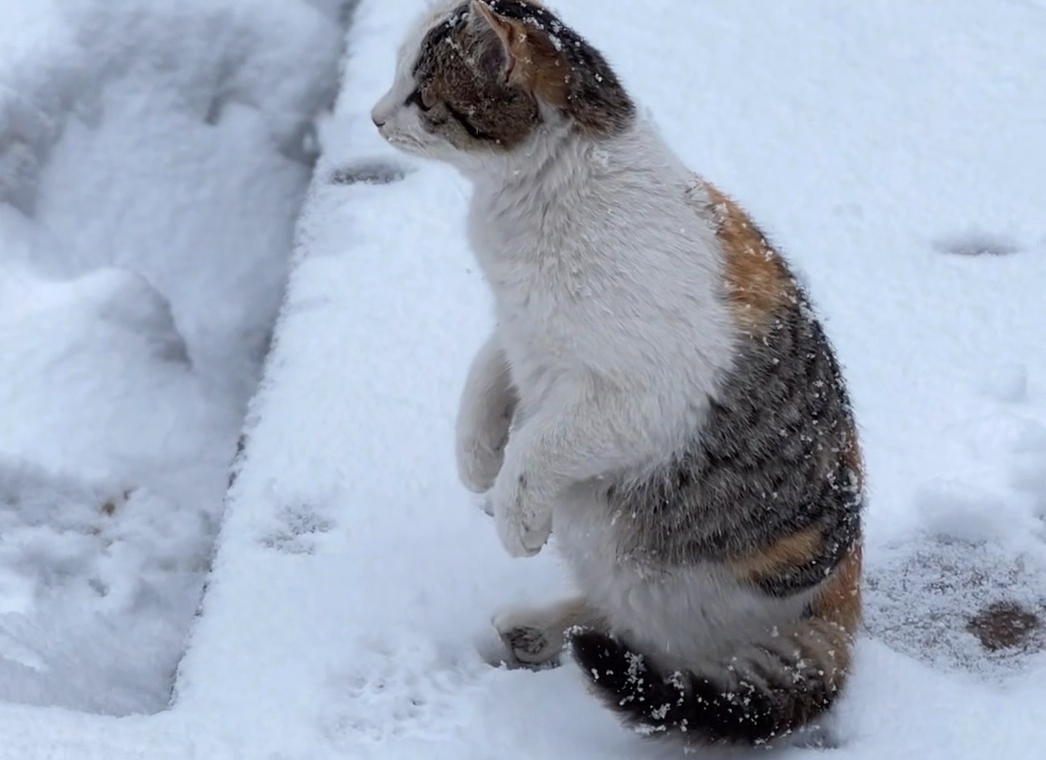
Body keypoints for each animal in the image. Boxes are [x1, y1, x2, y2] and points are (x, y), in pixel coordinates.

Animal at [372, 0, 861, 748]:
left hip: (646, 565)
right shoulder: (522, 334)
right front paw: (477, 459)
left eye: (421, 96)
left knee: (673, 652)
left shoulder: (643, 397)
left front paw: (514, 516)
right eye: (396, 75)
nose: (373, 116)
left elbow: (536, 449)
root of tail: (844, 607)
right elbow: (486, 373)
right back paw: (536, 631)